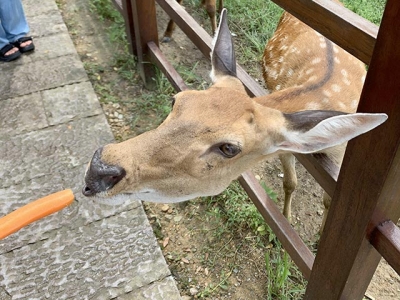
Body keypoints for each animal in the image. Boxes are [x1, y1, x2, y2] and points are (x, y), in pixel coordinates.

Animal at [82, 7, 388, 232]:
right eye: (176, 100)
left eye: (229, 148)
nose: (98, 168)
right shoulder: (289, 148)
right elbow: (290, 182)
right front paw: (287, 219)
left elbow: (324, 198)